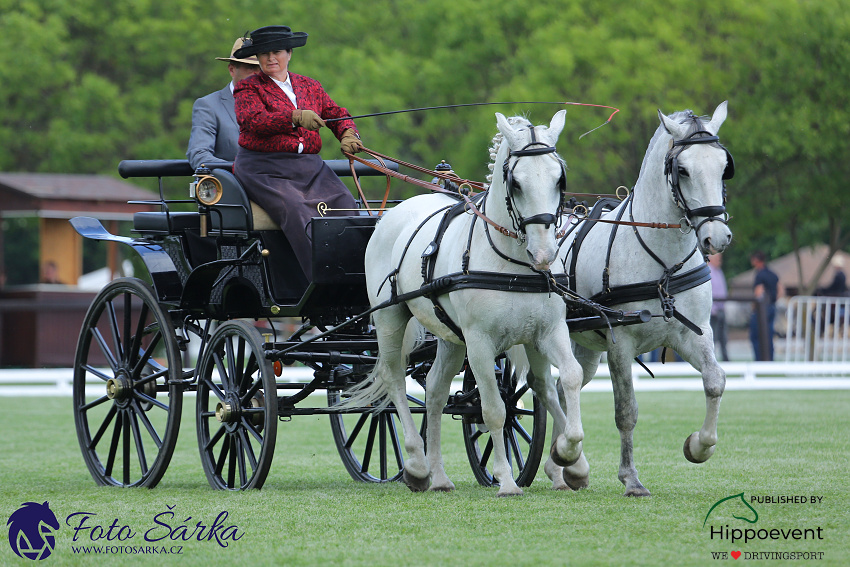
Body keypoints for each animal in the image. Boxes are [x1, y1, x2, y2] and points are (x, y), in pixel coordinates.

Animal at [532, 102, 732, 496]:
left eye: (723, 166)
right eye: (682, 169)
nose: (717, 237)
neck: (662, 263)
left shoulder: (695, 334)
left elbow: (715, 382)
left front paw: (698, 446)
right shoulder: (620, 345)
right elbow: (626, 411)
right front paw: (631, 478)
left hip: (584, 347)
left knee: (564, 387)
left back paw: (561, 466)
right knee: (544, 389)